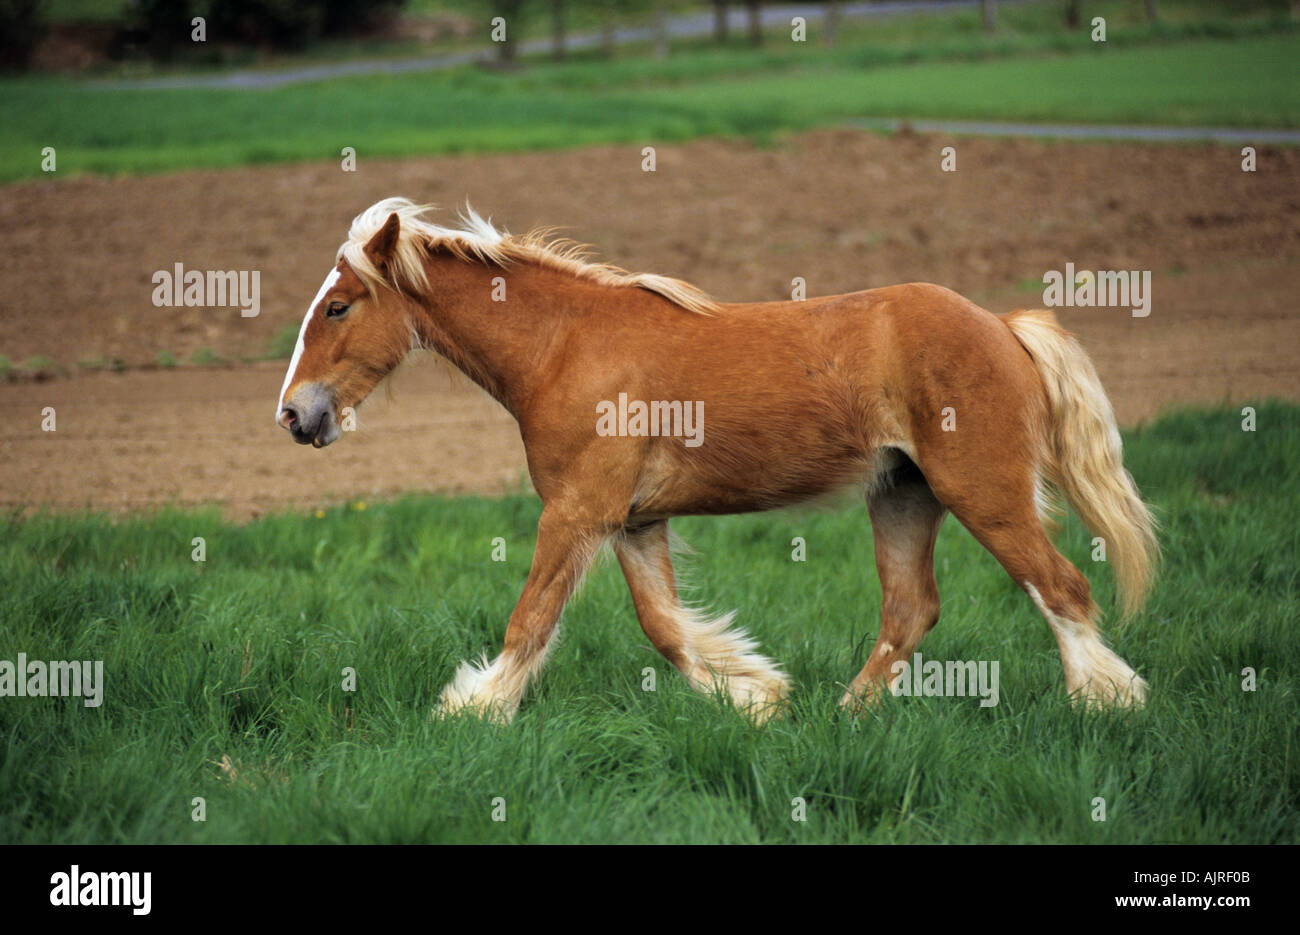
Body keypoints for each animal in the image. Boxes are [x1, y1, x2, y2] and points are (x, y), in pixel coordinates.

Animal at [274, 197, 1159, 723]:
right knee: (912, 609)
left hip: (984, 489)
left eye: (338, 306)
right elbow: (664, 627)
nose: (293, 415)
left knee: (1061, 587)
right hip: (903, 493)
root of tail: (1005, 326)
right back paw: (844, 714)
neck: (562, 347)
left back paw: (1109, 703)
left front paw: (473, 708)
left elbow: (532, 618)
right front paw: (755, 699)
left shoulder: (578, 511)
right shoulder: (633, 522)